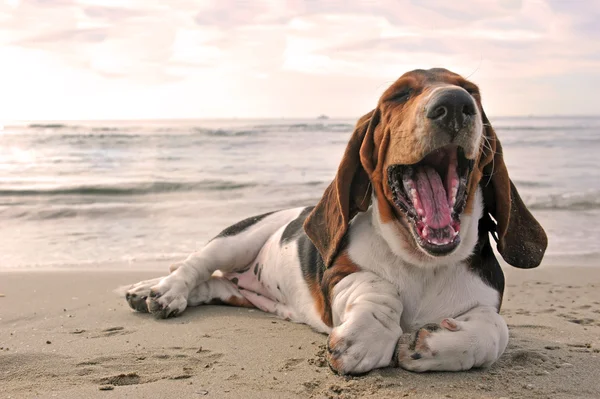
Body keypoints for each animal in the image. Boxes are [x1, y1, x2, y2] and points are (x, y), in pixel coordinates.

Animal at [123, 68, 548, 376]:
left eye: (471, 91)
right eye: (399, 95)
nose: (456, 103)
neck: (421, 261)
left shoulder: (487, 301)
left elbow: (496, 330)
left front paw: (428, 346)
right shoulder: (338, 276)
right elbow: (379, 288)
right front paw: (366, 339)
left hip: (237, 291)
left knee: (210, 286)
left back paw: (149, 292)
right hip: (238, 238)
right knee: (194, 266)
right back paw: (159, 292)